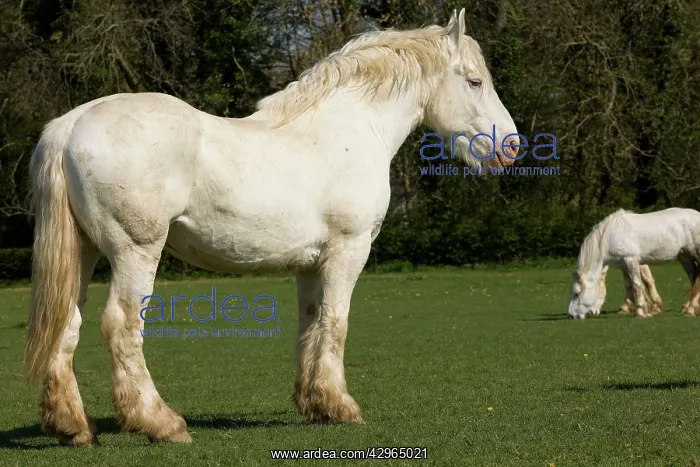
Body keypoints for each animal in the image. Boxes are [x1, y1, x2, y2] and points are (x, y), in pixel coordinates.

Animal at [24, 9, 519, 446]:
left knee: (66, 324)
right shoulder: (349, 250)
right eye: (475, 81)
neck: (350, 128)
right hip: (136, 250)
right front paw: (342, 406)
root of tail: (72, 124)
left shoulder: (311, 264)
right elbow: (337, 322)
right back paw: (161, 422)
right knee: (121, 326)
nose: (511, 147)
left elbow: (311, 323)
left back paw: (74, 427)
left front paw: (316, 404)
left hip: (84, 252)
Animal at [568, 208, 700, 320]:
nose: (571, 316)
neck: (610, 236)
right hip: (685, 258)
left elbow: (637, 284)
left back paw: (691, 310)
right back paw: (690, 308)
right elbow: (629, 285)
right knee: (693, 278)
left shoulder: (631, 260)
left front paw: (641, 312)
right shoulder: (623, 265)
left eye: (576, 293)